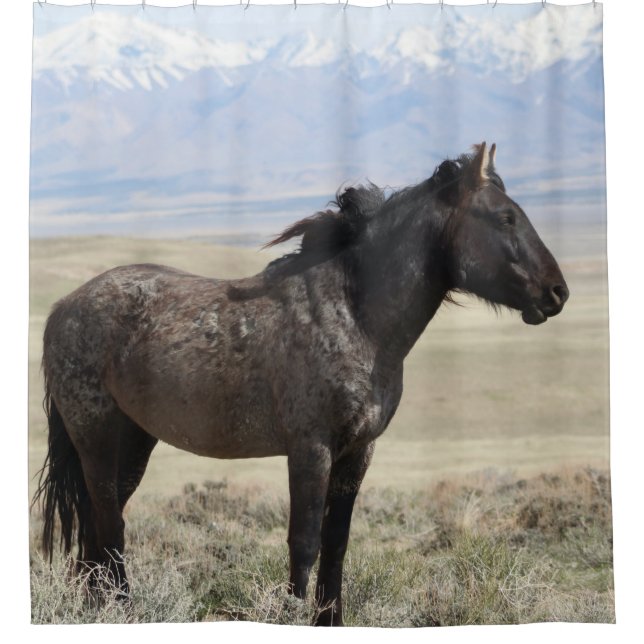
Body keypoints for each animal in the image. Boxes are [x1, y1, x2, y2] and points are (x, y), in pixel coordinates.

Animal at [32, 143, 568, 626]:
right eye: (505, 218)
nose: (557, 292)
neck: (355, 314)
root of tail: (62, 308)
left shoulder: (357, 453)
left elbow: (337, 542)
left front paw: (330, 618)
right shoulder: (311, 448)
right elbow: (305, 541)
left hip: (135, 440)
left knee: (99, 525)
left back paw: (97, 607)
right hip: (96, 437)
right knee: (107, 520)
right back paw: (121, 608)